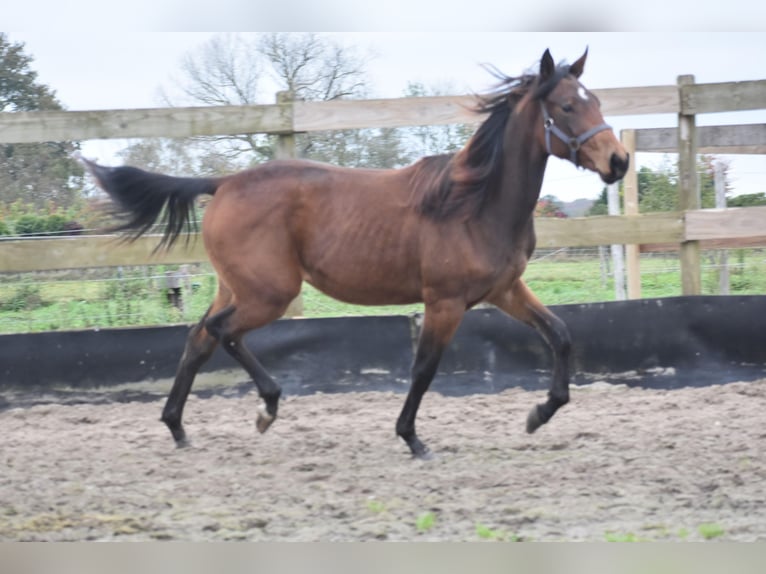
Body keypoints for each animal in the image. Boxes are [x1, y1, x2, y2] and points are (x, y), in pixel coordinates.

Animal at [78, 50, 632, 464]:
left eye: (596, 101)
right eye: (565, 106)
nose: (619, 160)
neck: (474, 202)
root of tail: (225, 182)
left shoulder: (504, 290)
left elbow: (560, 335)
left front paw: (539, 414)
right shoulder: (445, 302)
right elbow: (424, 368)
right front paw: (412, 438)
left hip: (237, 286)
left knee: (199, 338)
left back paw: (177, 427)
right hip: (271, 293)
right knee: (221, 333)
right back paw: (266, 408)